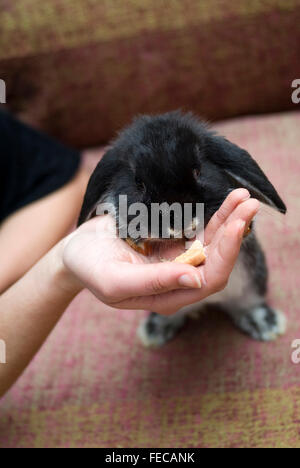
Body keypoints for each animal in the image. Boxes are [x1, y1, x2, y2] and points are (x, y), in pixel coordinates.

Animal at [78, 109, 288, 344]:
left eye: (197, 171)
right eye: (138, 183)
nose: (179, 223)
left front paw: (246, 228)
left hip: (254, 279)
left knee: (249, 303)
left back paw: (265, 324)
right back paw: (155, 331)